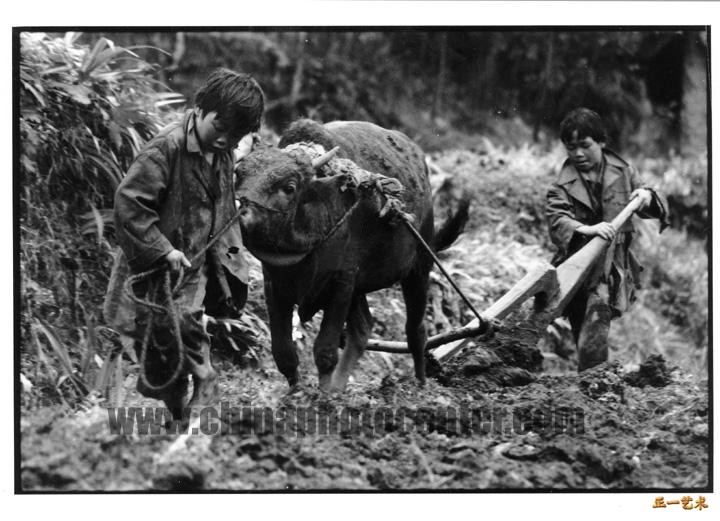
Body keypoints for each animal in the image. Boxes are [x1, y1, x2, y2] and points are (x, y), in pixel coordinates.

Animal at [235, 120, 468, 391]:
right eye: (239, 174)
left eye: (289, 187)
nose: (241, 213)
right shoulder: (275, 285)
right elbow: (283, 352)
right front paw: (297, 393)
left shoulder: (342, 281)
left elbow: (325, 351)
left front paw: (323, 395)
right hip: (361, 289)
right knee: (363, 329)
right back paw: (340, 388)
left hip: (419, 268)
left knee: (416, 330)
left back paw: (420, 384)